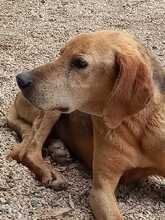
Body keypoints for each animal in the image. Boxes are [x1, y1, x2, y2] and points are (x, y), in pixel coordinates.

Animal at [7, 31, 165, 220]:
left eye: (80, 63)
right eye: (61, 53)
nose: (20, 79)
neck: (138, 124)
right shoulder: (101, 189)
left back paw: (58, 148)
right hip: (52, 111)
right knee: (26, 151)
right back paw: (50, 172)